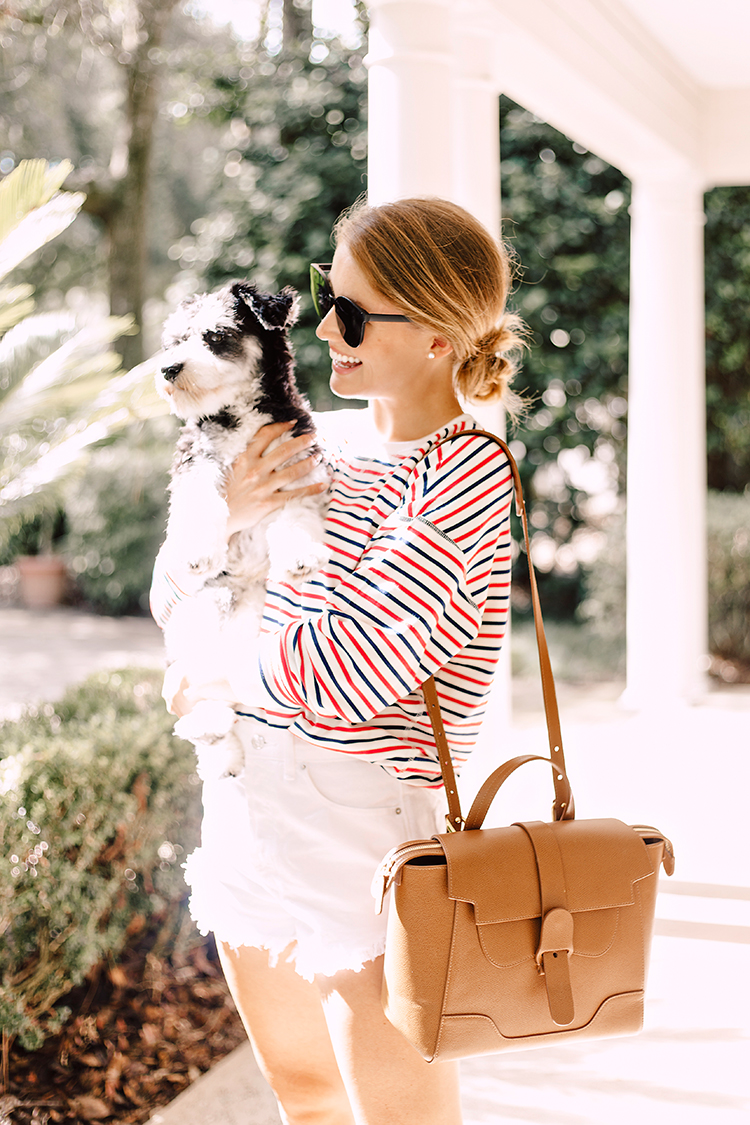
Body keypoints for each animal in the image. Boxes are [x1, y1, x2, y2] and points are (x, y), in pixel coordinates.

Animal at [157, 279, 328, 783]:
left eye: (215, 336)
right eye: (175, 341)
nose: (168, 368)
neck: (238, 419)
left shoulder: (302, 469)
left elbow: (297, 518)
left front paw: (299, 556)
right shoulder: (194, 461)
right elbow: (200, 504)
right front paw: (196, 551)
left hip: (252, 622)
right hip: (200, 610)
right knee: (201, 687)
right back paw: (211, 734)